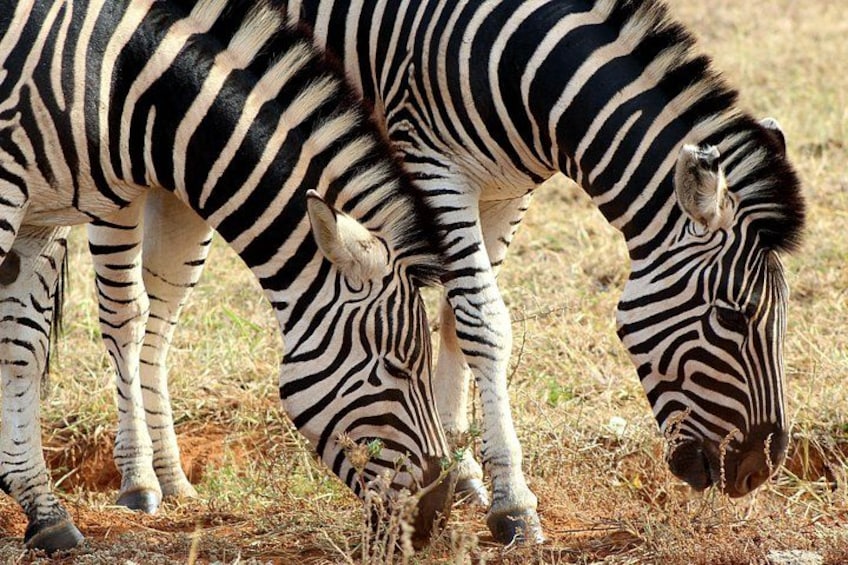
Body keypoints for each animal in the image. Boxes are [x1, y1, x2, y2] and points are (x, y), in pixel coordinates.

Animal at [0, 0, 456, 552]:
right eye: (395, 368)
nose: (437, 511)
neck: (118, 79)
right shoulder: (9, 189)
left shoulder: (40, 220)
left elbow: (22, 353)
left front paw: (43, 512)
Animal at [89, 0, 806, 545]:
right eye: (735, 316)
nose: (760, 468)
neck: (517, 69)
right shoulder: (435, 169)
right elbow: (485, 321)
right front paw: (512, 505)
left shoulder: (507, 191)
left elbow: (458, 323)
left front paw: (463, 477)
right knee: (125, 316)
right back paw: (139, 482)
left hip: (191, 162)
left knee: (161, 317)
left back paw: (174, 477)